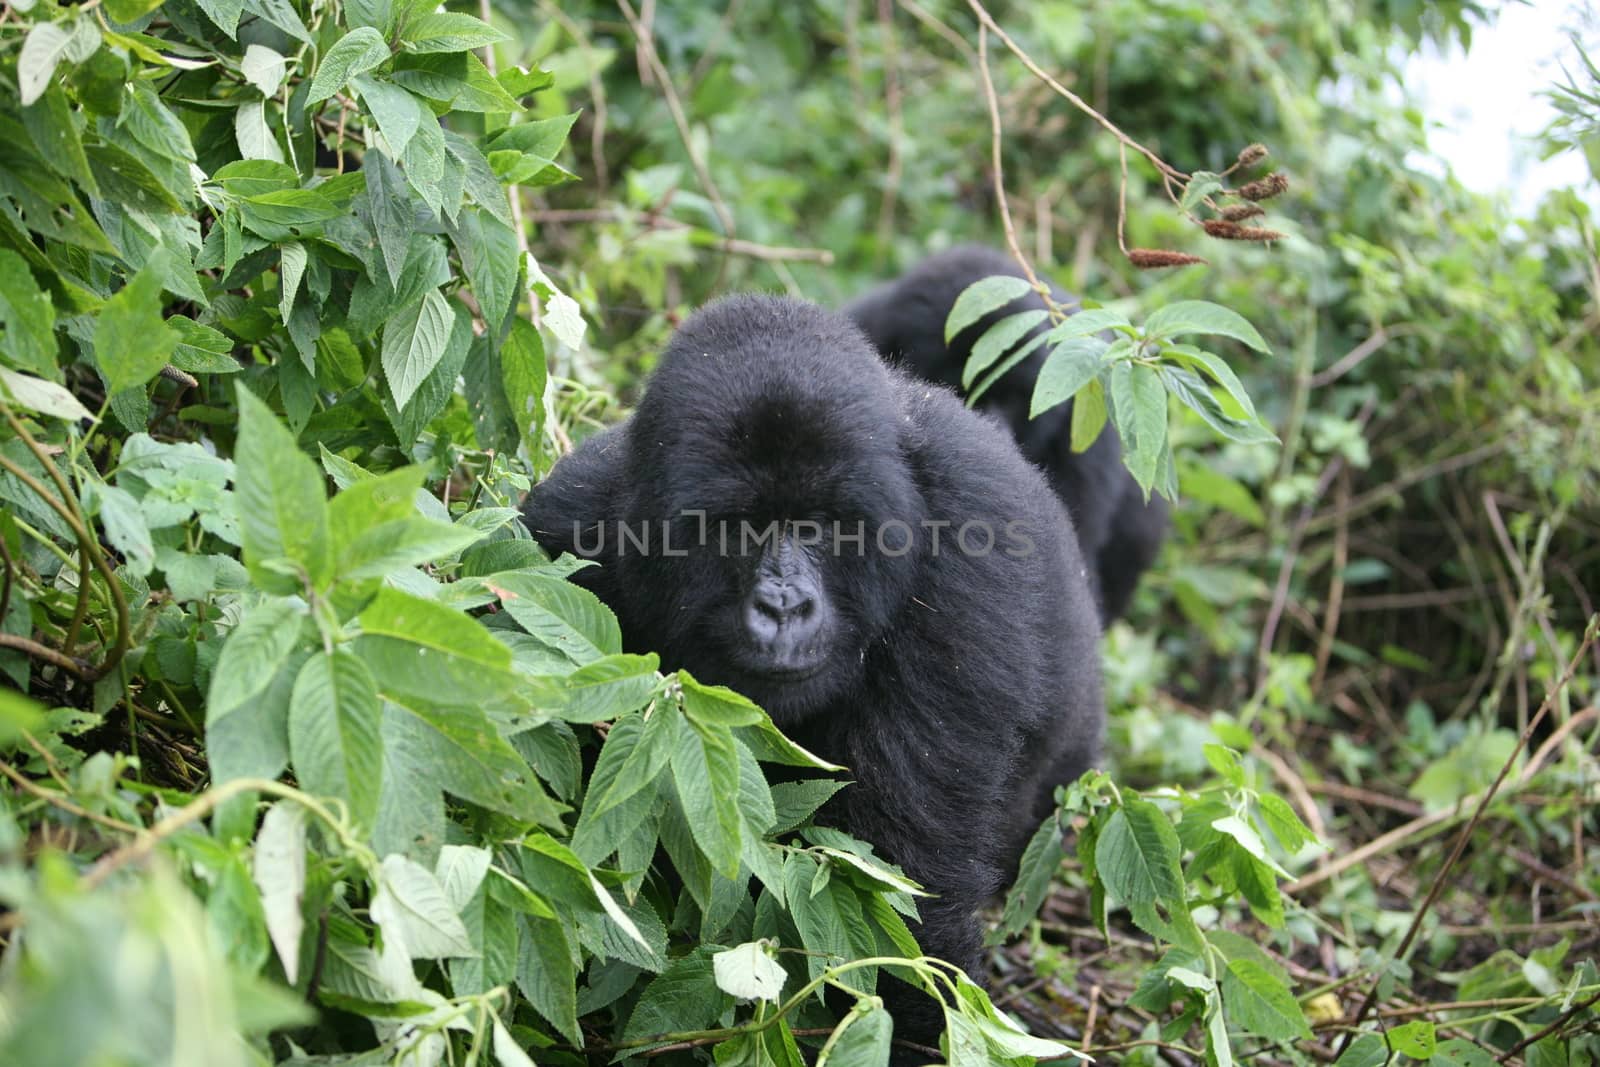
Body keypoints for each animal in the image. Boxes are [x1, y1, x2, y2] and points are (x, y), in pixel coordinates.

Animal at [521, 292, 1100, 1043]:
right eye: (739, 527)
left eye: (821, 526)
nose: (784, 605)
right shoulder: (565, 534)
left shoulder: (972, 553)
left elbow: (903, 884)